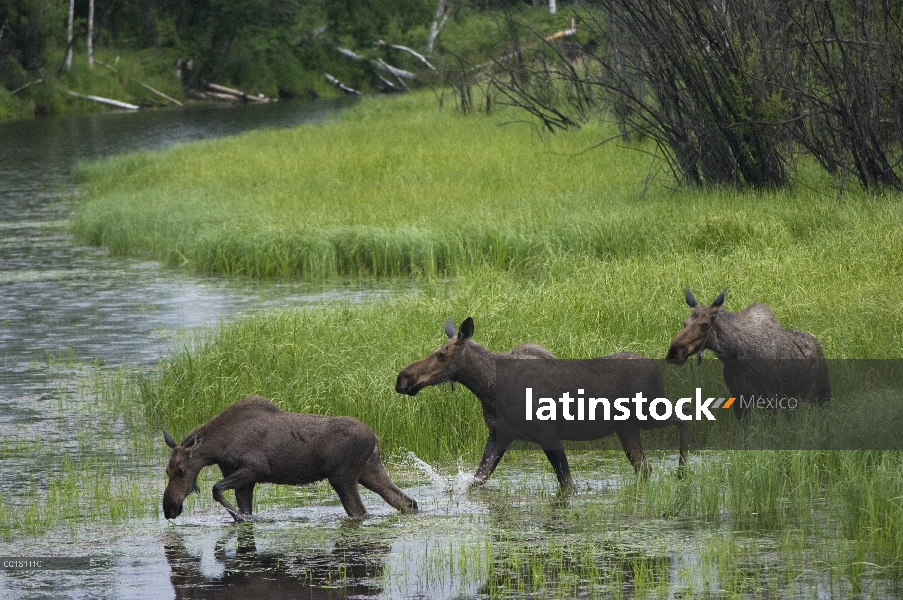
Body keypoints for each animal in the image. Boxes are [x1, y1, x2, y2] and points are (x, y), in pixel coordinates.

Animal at [162, 394, 416, 520]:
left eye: (182, 471)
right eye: (167, 470)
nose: (169, 508)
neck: (220, 447)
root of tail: (375, 437)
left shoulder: (256, 468)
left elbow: (216, 489)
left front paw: (241, 518)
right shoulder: (244, 479)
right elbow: (238, 503)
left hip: (342, 478)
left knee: (361, 513)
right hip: (369, 471)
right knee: (406, 501)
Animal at [392, 316, 688, 490]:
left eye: (442, 354)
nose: (403, 378)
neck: (488, 389)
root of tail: (657, 369)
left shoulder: (547, 434)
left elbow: (567, 483)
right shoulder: (499, 435)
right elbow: (477, 480)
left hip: (648, 414)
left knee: (683, 417)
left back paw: (682, 471)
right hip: (628, 429)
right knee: (645, 468)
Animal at [664, 288, 832, 420]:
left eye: (704, 324)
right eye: (684, 322)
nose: (673, 352)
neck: (734, 356)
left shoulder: (768, 399)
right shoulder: (738, 398)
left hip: (822, 394)